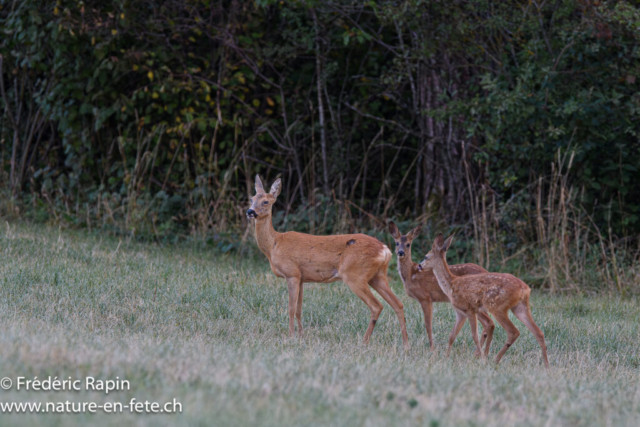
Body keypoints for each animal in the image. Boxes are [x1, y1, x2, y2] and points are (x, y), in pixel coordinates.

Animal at [246, 176, 410, 350]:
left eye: (265, 202)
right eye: (251, 199)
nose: (250, 212)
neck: (274, 245)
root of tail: (385, 250)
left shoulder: (292, 273)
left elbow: (290, 308)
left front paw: (290, 337)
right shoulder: (302, 277)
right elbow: (298, 309)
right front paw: (301, 336)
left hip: (354, 275)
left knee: (376, 306)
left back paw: (365, 341)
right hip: (377, 276)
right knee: (398, 304)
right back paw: (405, 344)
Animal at [388, 222, 492, 356]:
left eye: (408, 244)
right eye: (396, 243)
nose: (400, 252)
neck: (411, 274)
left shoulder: (425, 297)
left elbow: (428, 325)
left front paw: (432, 349)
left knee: (488, 322)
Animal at [420, 232, 552, 370]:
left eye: (426, 257)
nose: (419, 266)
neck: (451, 284)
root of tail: (524, 288)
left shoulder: (469, 309)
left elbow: (474, 335)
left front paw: (481, 358)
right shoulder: (460, 313)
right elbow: (452, 335)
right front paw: (446, 358)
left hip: (497, 306)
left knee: (513, 331)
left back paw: (495, 359)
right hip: (520, 307)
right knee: (539, 332)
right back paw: (547, 366)